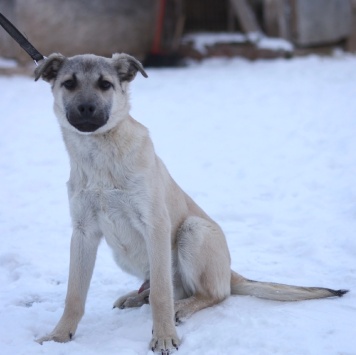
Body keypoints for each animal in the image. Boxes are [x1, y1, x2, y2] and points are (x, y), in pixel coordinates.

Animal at [34, 53, 348, 355]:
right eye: (69, 83)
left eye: (105, 84)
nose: (86, 108)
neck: (99, 155)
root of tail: (230, 272)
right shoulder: (83, 231)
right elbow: (74, 295)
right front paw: (59, 336)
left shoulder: (155, 225)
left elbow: (162, 293)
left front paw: (164, 338)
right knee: (167, 289)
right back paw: (136, 296)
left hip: (193, 230)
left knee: (212, 294)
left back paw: (179, 307)